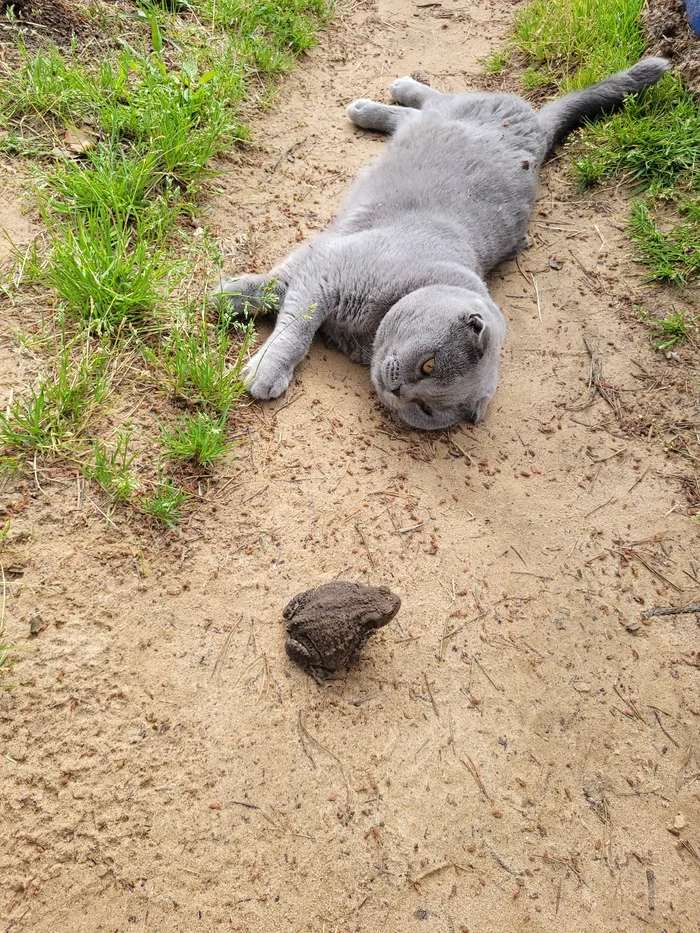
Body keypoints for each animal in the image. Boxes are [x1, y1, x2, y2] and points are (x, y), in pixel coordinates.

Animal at [213, 60, 668, 432]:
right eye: (429, 363)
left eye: (426, 408)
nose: (398, 389)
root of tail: (538, 128)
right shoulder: (329, 269)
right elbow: (295, 324)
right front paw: (257, 352)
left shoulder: (322, 264)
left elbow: (283, 294)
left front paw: (230, 301)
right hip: (458, 108)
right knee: (431, 100)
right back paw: (385, 95)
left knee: (414, 115)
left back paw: (372, 106)